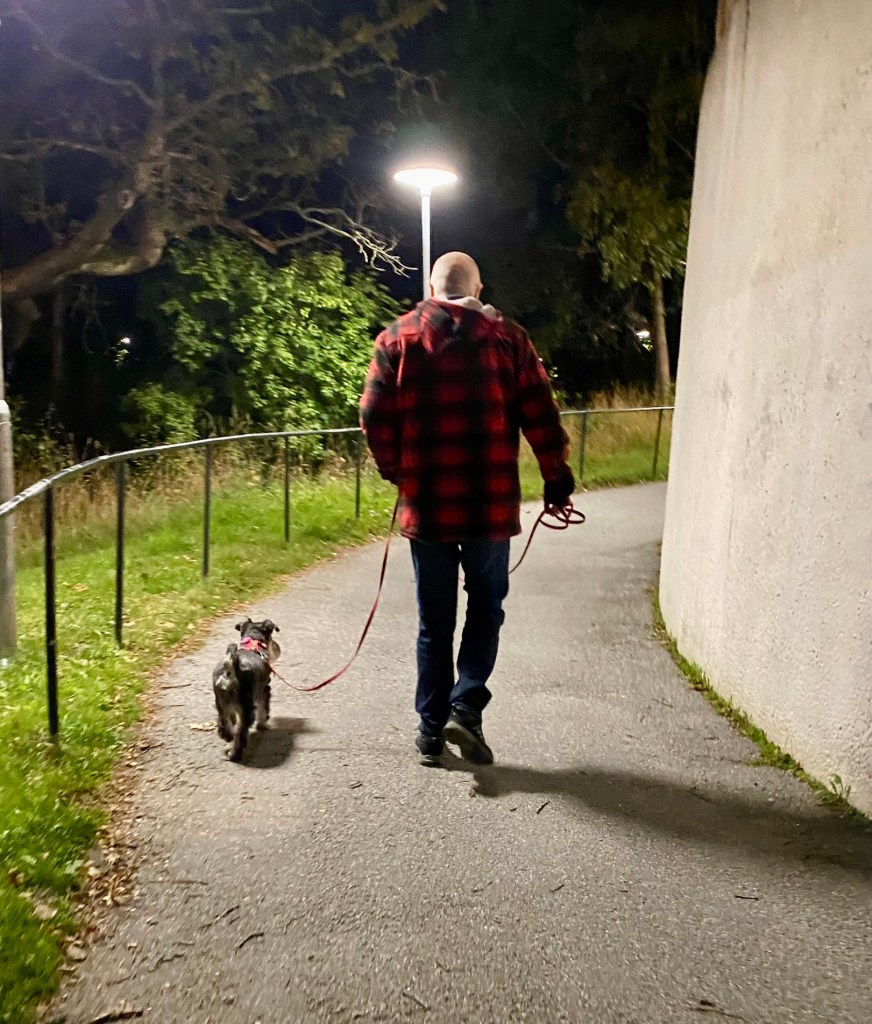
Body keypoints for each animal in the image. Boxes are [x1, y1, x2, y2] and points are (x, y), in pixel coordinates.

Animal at [212, 618, 281, 762]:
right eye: (271, 637)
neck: (253, 644)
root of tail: (230, 671)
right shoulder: (264, 690)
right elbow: (263, 710)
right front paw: (262, 725)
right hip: (246, 709)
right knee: (240, 733)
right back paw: (235, 755)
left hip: (221, 704)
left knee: (225, 725)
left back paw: (227, 739)